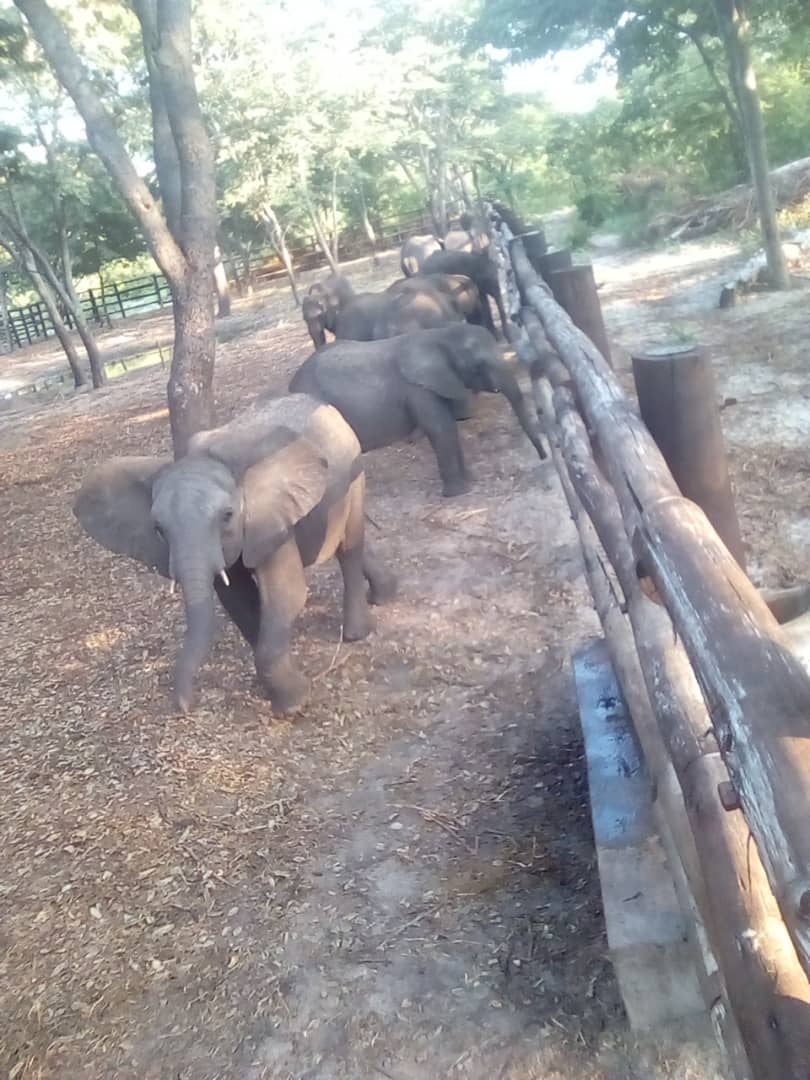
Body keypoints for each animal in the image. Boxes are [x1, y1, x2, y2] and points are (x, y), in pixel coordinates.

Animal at [73, 394, 397, 714]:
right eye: (158, 529)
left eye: (227, 515)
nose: (185, 706)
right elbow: (237, 598)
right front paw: (275, 686)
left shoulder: (268, 515)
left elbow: (285, 593)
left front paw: (294, 703)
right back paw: (384, 595)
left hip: (353, 468)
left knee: (349, 547)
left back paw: (356, 633)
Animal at [288, 324, 547, 497]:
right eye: (479, 365)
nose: (544, 457)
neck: (440, 336)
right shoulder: (418, 388)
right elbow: (440, 428)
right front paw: (457, 493)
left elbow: (448, 428)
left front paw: (469, 480)